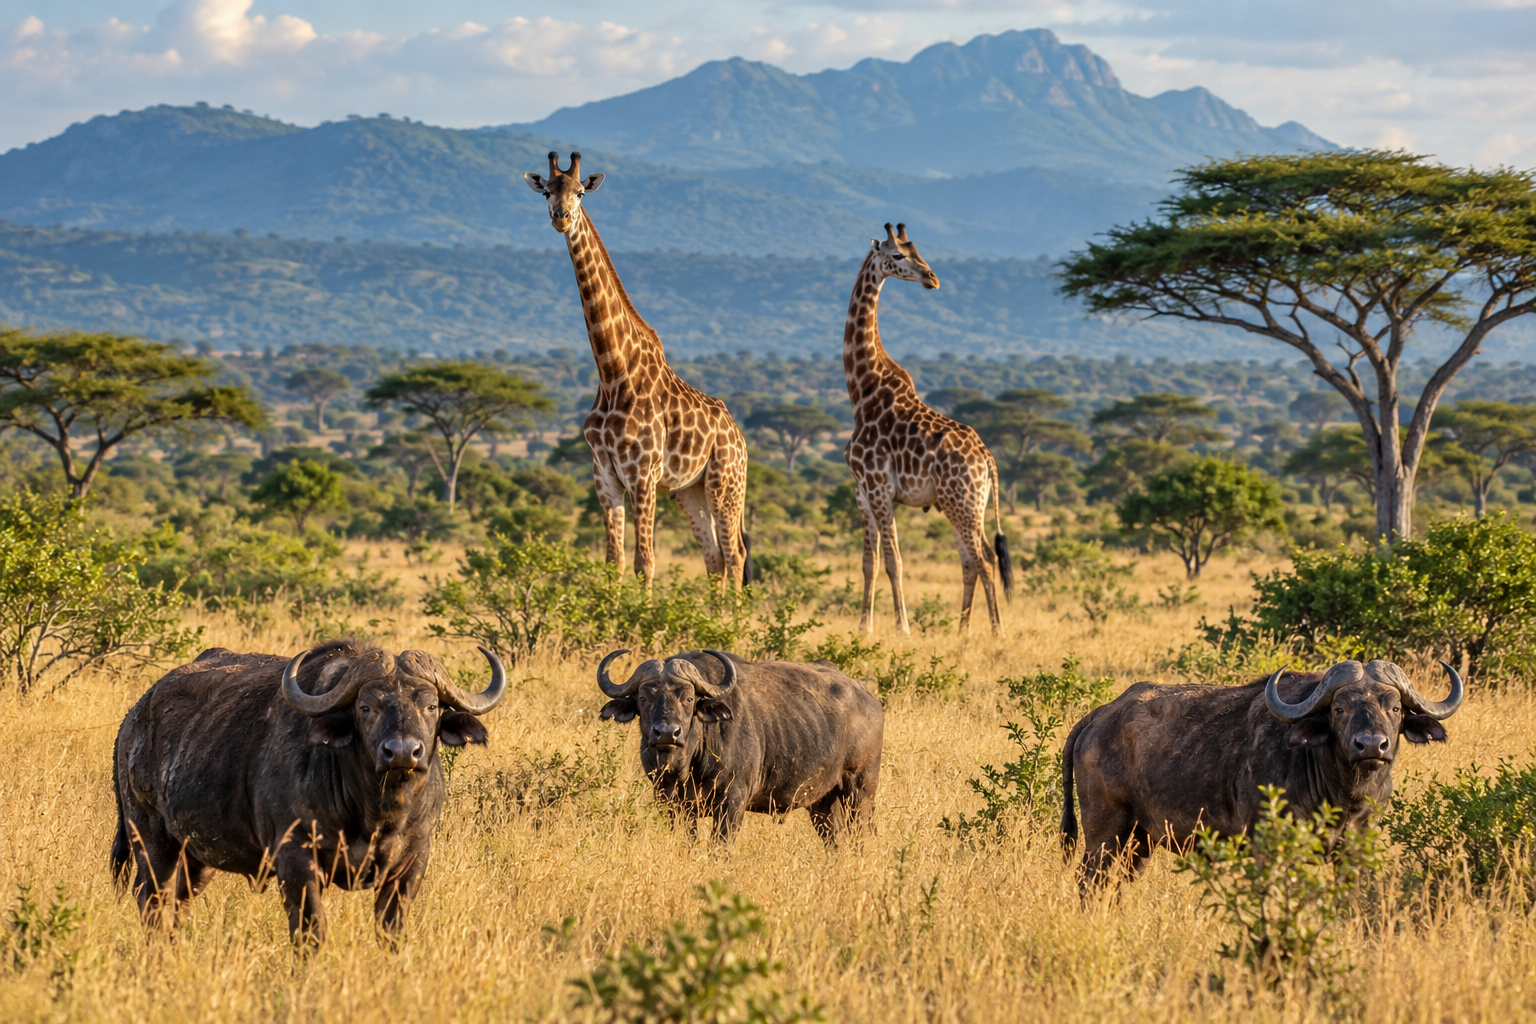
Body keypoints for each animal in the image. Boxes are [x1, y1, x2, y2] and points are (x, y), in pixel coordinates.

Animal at [111, 641, 505, 947]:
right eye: (366, 707)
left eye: (431, 706)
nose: (403, 752)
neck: (375, 812)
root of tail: (133, 719)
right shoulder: (296, 858)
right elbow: (310, 931)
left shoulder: (412, 861)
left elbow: (391, 931)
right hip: (151, 840)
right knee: (152, 901)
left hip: (196, 856)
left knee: (178, 903)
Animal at [524, 152, 750, 590]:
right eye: (546, 191)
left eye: (580, 192)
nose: (561, 217)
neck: (613, 371)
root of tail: (740, 437)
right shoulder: (605, 477)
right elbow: (613, 562)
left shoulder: (642, 474)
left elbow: (645, 562)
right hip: (689, 491)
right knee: (713, 558)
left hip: (725, 483)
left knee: (735, 556)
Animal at [596, 649, 883, 843]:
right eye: (644, 698)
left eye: (688, 698)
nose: (667, 732)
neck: (687, 765)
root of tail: (868, 698)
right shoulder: (669, 803)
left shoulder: (732, 801)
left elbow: (719, 847)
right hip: (823, 801)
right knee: (835, 840)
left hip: (860, 792)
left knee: (862, 836)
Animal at [842, 223, 1013, 635]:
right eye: (898, 255)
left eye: (916, 253)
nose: (932, 278)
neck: (861, 389)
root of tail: (988, 459)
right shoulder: (861, 490)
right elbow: (869, 562)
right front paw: (864, 627)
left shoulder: (879, 486)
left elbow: (895, 561)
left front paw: (902, 628)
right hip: (964, 504)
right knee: (970, 560)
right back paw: (962, 632)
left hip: (962, 502)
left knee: (984, 559)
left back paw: (997, 632)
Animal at [1061, 659, 1463, 887]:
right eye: (1340, 709)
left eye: (1395, 708)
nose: (1370, 745)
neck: (1341, 796)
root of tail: (1101, 713)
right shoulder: (1273, 851)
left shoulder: (1356, 852)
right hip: (1104, 833)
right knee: (1089, 880)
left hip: (1140, 840)